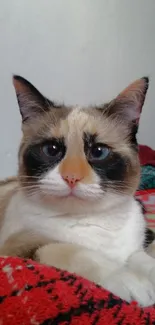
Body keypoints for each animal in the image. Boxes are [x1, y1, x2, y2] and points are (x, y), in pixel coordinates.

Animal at [0, 74, 155, 306]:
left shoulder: (135, 246)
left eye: (98, 152)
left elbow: (141, 257)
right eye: (51, 150)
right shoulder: (14, 248)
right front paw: (130, 281)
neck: (89, 220)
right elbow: (72, 250)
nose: (71, 177)